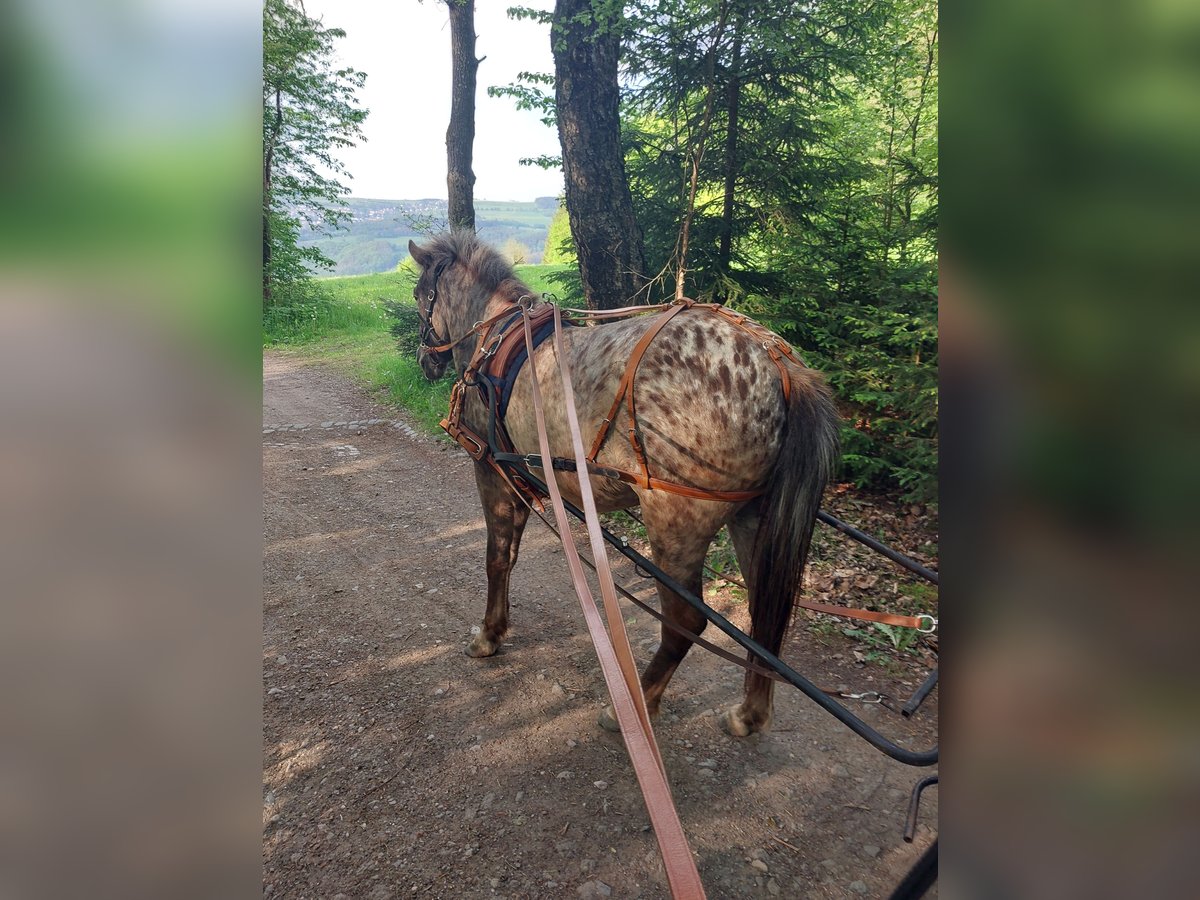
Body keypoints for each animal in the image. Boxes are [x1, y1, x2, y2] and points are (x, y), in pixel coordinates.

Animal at [405, 234, 835, 739]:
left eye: (420, 295)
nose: (425, 360)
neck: (498, 342)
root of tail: (779, 367)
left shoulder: (492, 471)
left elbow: (496, 559)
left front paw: (488, 636)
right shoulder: (522, 477)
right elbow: (508, 558)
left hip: (676, 525)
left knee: (685, 622)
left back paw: (638, 702)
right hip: (752, 518)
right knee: (764, 612)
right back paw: (749, 712)